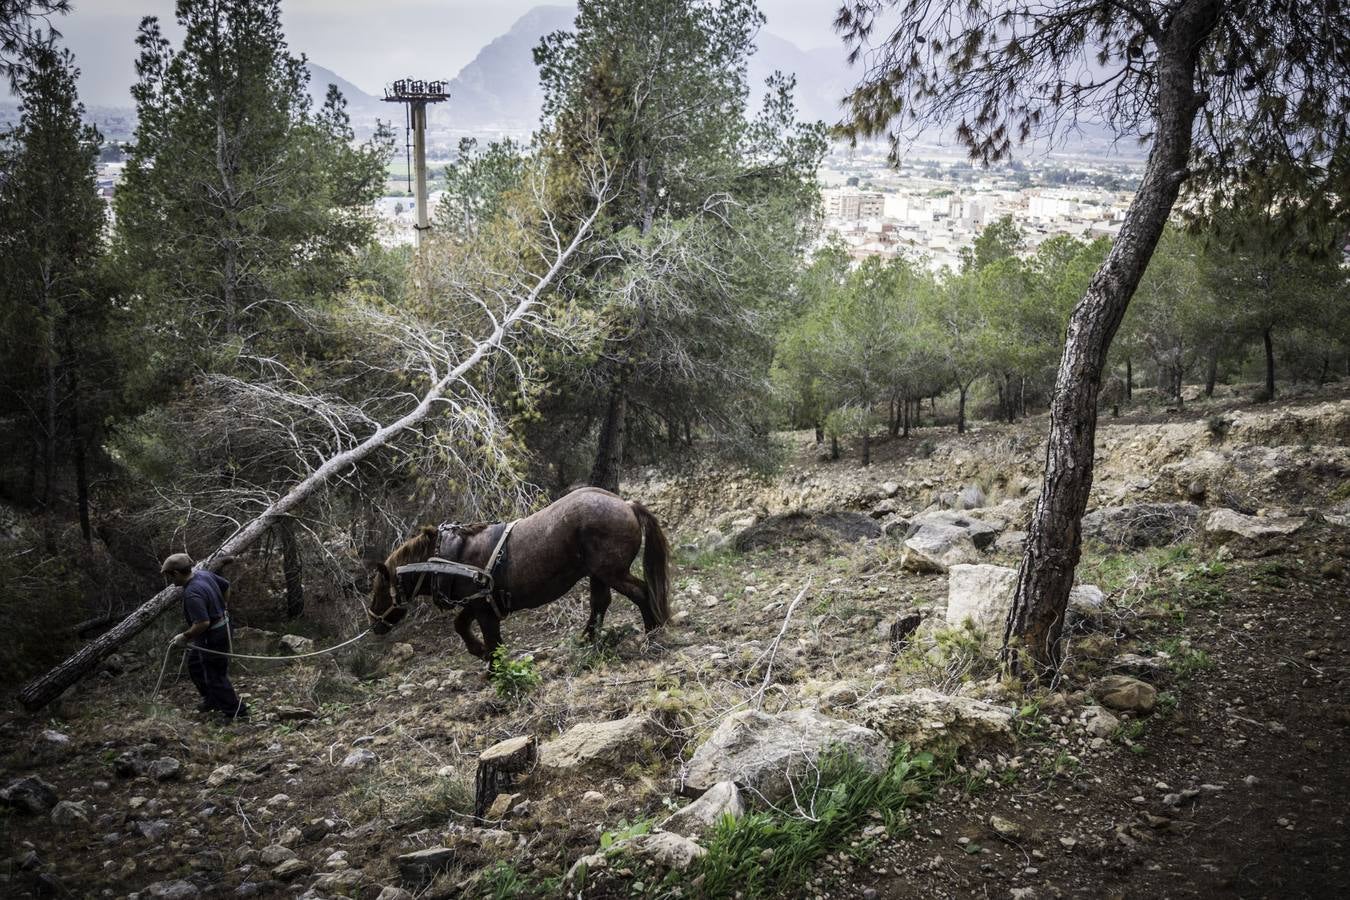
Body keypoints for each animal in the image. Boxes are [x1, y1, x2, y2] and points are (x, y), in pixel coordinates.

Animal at [367, 488, 672, 666]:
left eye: (379, 590)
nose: (374, 626)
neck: (451, 556)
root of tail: (627, 504)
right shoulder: (477, 602)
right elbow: (460, 625)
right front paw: (479, 651)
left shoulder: (484, 609)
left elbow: (493, 640)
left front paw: (495, 670)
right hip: (597, 573)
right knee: (600, 603)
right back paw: (586, 640)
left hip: (611, 572)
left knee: (641, 592)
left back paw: (652, 631)